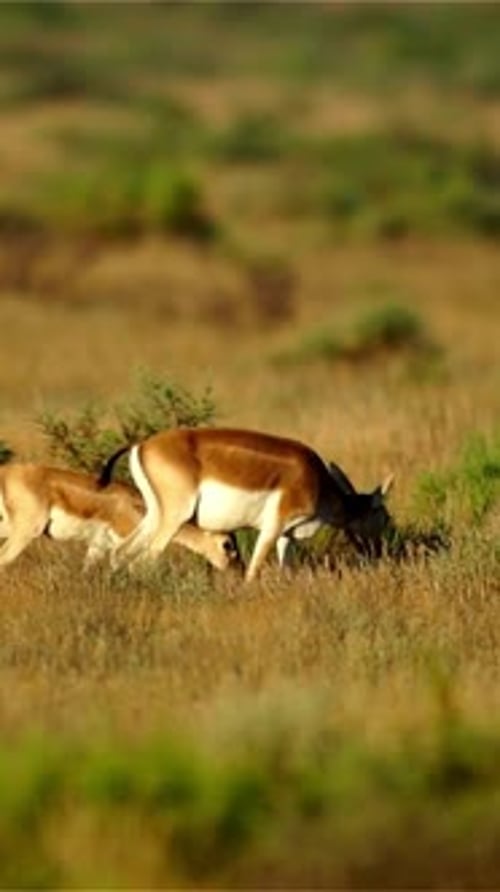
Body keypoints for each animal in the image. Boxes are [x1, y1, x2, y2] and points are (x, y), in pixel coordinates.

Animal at [99, 427, 394, 581]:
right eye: (385, 517)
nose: (379, 553)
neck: (318, 482)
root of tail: (142, 445)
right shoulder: (272, 528)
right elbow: (252, 572)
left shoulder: (287, 534)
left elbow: (286, 567)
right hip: (174, 518)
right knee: (145, 559)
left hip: (154, 515)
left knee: (120, 553)